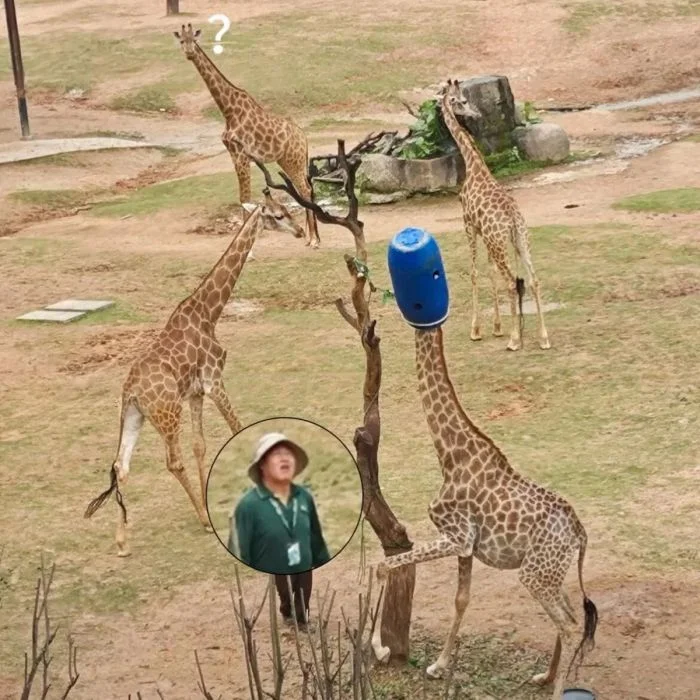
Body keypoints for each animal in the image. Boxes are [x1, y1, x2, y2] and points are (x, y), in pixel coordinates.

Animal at [84, 207, 267, 557]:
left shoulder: (196, 392)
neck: (208, 311)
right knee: (172, 461)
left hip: (135, 416)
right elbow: (238, 429)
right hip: (168, 413)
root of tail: (131, 391)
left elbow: (200, 445)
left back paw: (122, 542)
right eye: (280, 212)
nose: (300, 230)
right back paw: (204, 520)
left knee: (121, 465)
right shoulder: (213, 379)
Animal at [174, 24, 320, 249]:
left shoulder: (241, 155)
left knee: (305, 190)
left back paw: (313, 240)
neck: (228, 111)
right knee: (305, 189)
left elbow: (245, 198)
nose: (189, 53)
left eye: (194, 40)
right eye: (182, 41)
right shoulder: (235, 155)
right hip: (287, 161)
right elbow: (243, 197)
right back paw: (311, 237)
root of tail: (303, 137)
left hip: (293, 160)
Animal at [370, 325, 598, 699]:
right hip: (550, 572)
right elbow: (461, 599)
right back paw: (544, 676)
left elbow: (381, 566)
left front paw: (380, 648)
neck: (450, 455)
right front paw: (438, 666)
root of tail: (580, 531)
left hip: (534, 574)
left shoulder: (457, 536)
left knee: (568, 625)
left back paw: (555, 687)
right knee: (574, 617)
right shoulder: (467, 546)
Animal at [440, 78, 550, 351]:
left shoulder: (468, 224)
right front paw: (497, 327)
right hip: (520, 240)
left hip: (499, 243)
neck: (474, 166)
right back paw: (543, 338)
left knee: (512, 282)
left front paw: (477, 330)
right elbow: (489, 271)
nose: (476, 114)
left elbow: (474, 272)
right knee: (533, 280)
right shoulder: (484, 233)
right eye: (464, 101)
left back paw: (514, 340)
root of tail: (511, 218)